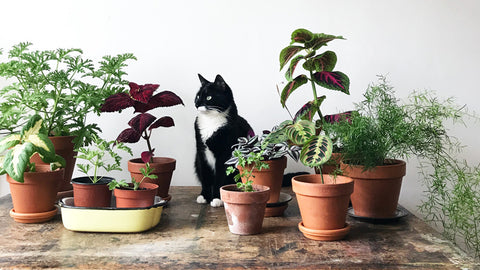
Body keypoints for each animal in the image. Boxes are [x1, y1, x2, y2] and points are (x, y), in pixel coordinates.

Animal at [195, 74, 255, 207]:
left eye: (209, 97)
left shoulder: (225, 153)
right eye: (197, 96)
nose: (197, 103)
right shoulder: (201, 152)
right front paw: (204, 196)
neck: (211, 120)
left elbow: (220, 176)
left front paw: (217, 198)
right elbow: (205, 176)